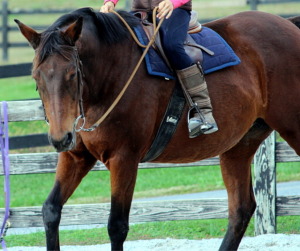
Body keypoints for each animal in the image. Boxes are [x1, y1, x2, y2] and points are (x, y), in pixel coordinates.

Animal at [15, 7, 300, 249]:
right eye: (36, 76)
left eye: (73, 74)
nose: (60, 138)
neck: (111, 75)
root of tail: (288, 24)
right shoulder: (76, 157)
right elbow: (51, 210)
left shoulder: (124, 158)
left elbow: (117, 226)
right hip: (239, 146)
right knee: (240, 209)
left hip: (292, 128)